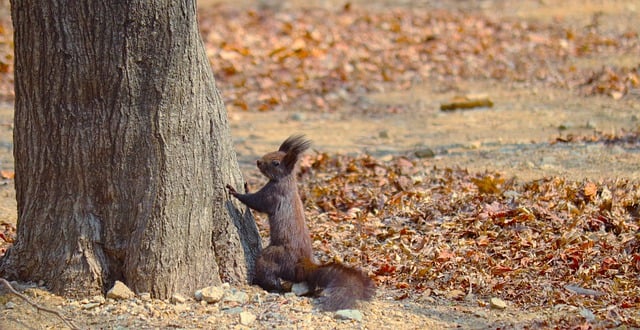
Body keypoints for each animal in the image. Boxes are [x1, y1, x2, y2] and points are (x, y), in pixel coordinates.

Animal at [228, 133, 376, 310]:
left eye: (276, 163)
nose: (258, 161)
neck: (285, 180)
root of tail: (302, 266)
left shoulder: (273, 195)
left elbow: (255, 202)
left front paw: (235, 192)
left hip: (276, 256)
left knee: (268, 271)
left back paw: (270, 286)